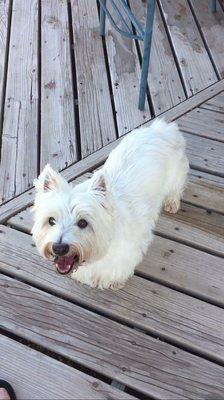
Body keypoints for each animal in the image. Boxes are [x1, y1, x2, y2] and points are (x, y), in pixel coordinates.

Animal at [32, 117, 189, 290]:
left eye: (82, 223)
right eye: (51, 220)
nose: (59, 248)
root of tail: (161, 128)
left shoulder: (127, 254)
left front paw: (115, 283)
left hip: (175, 175)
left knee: (175, 188)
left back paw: (172, 203)